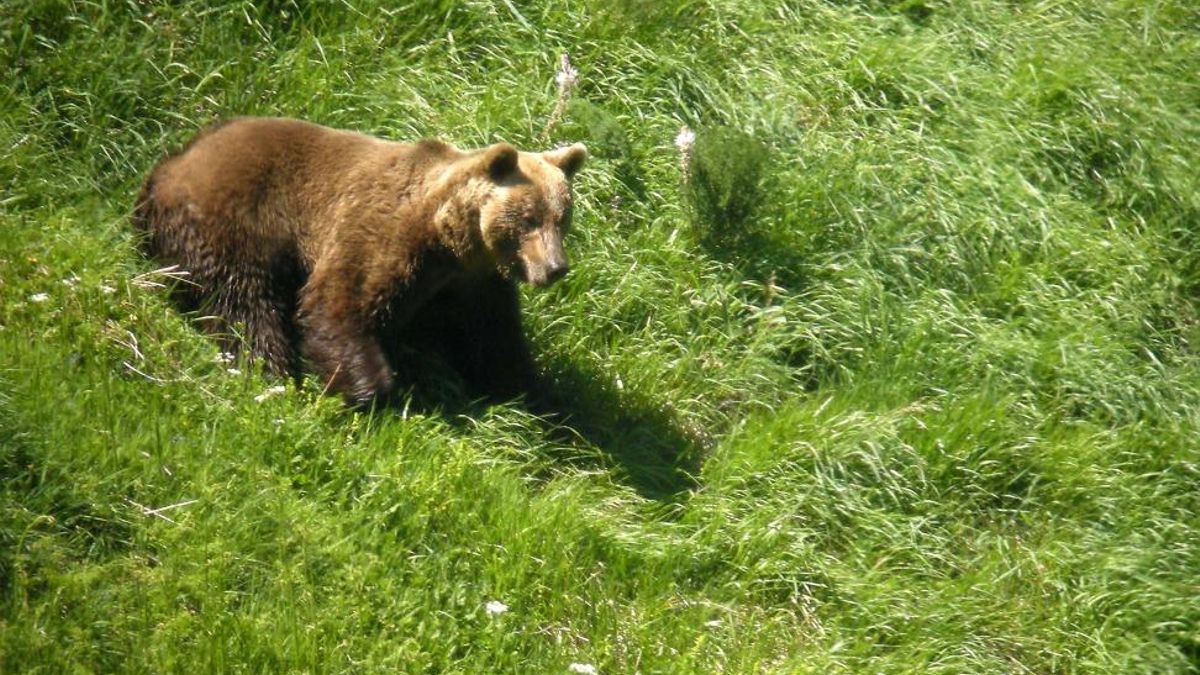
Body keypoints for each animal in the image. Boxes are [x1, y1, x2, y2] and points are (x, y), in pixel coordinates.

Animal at [133, 116, 586, 406]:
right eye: (528, 219)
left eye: (562, 217)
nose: (555, 268)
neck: (448, 240)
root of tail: (167, 166)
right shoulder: (381, 233)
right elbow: (340, 302)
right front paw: (371, 388)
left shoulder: (474, 283)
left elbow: (494, 342)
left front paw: (540, 396)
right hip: (236, 219)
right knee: (243, 301)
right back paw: (270, 368)